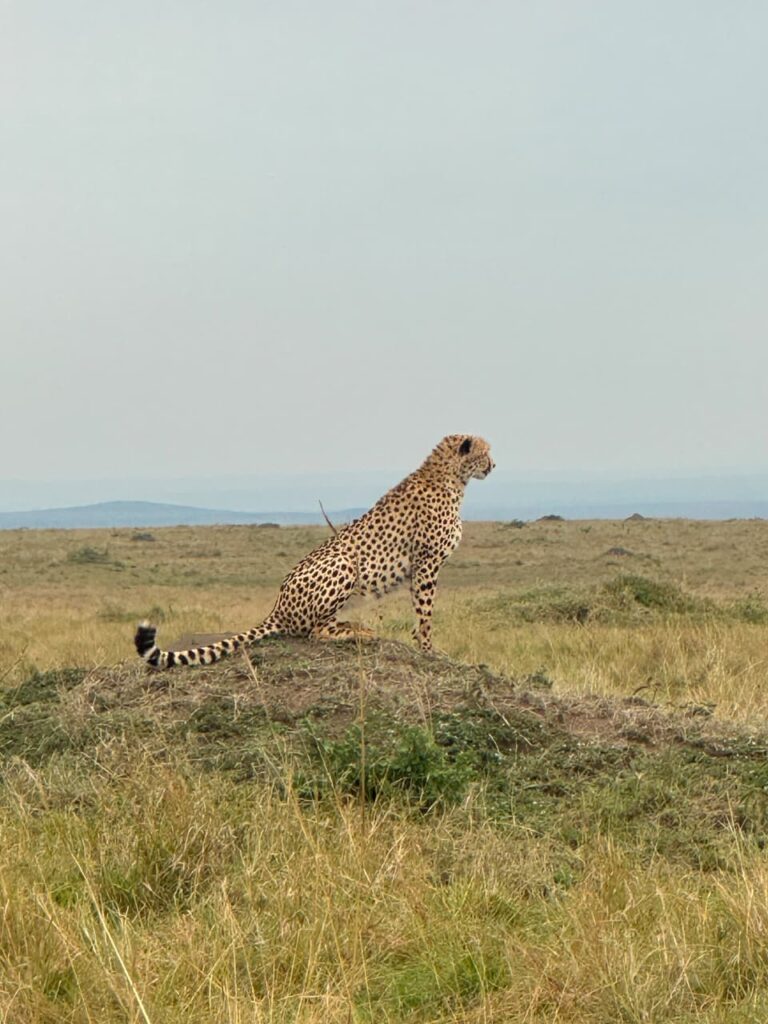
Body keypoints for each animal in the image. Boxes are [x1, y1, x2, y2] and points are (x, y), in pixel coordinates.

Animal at [135, 434, 494, 669]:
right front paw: (429, 649)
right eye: (485, 452)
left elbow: (419, 612)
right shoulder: (427, 563)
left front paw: (422, 644)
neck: (451, 477)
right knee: (314, 632)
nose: (493, 465)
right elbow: (425, 612)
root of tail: (277, 607)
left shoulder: (421, 567)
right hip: (344, 562)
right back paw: (358, 632)